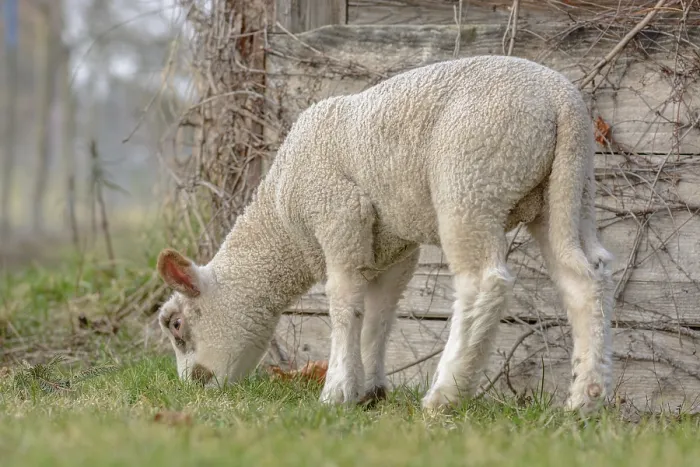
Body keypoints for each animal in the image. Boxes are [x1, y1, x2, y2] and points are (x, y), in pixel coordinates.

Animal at [155, 54, 614, 413]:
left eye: (177, 326)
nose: (193, 388)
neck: (282, 224)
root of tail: (560, 98)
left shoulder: (338, 215)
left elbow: (344, 306)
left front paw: (336, 392)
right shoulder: (393, 249)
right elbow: (378, 315)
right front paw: (369, 391)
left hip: (472, 180)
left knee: (484, 283)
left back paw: (445, 396)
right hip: (569, 191)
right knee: (584, 279)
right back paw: (584, 401)